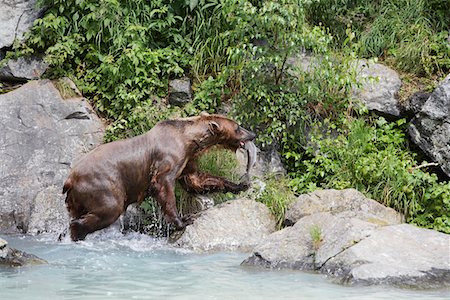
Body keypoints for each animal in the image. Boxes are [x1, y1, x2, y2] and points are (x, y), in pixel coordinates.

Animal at [62, 112, 256, 241]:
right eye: (238, 127)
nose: (253, 134)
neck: (189, 140)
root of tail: (70, 178)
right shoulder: (169, 157)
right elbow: (163, 185)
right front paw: (183, 220)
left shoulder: (187, 160)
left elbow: (197, 180)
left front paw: (240, 185)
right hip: (102, 184)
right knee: (110, 208)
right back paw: (77, 232)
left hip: (76, 199)